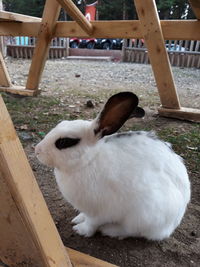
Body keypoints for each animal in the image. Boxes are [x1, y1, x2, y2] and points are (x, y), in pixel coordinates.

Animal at [35, 92, 190, 241]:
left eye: (65, 142)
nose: (37, 150)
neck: (89, 160)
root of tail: (172, 224)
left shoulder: (100, 212)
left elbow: (92, 224)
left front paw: (80, 230)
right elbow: (85, 216)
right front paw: (78, 219)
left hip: (144, 215)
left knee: (132, 231)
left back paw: (110, 230)